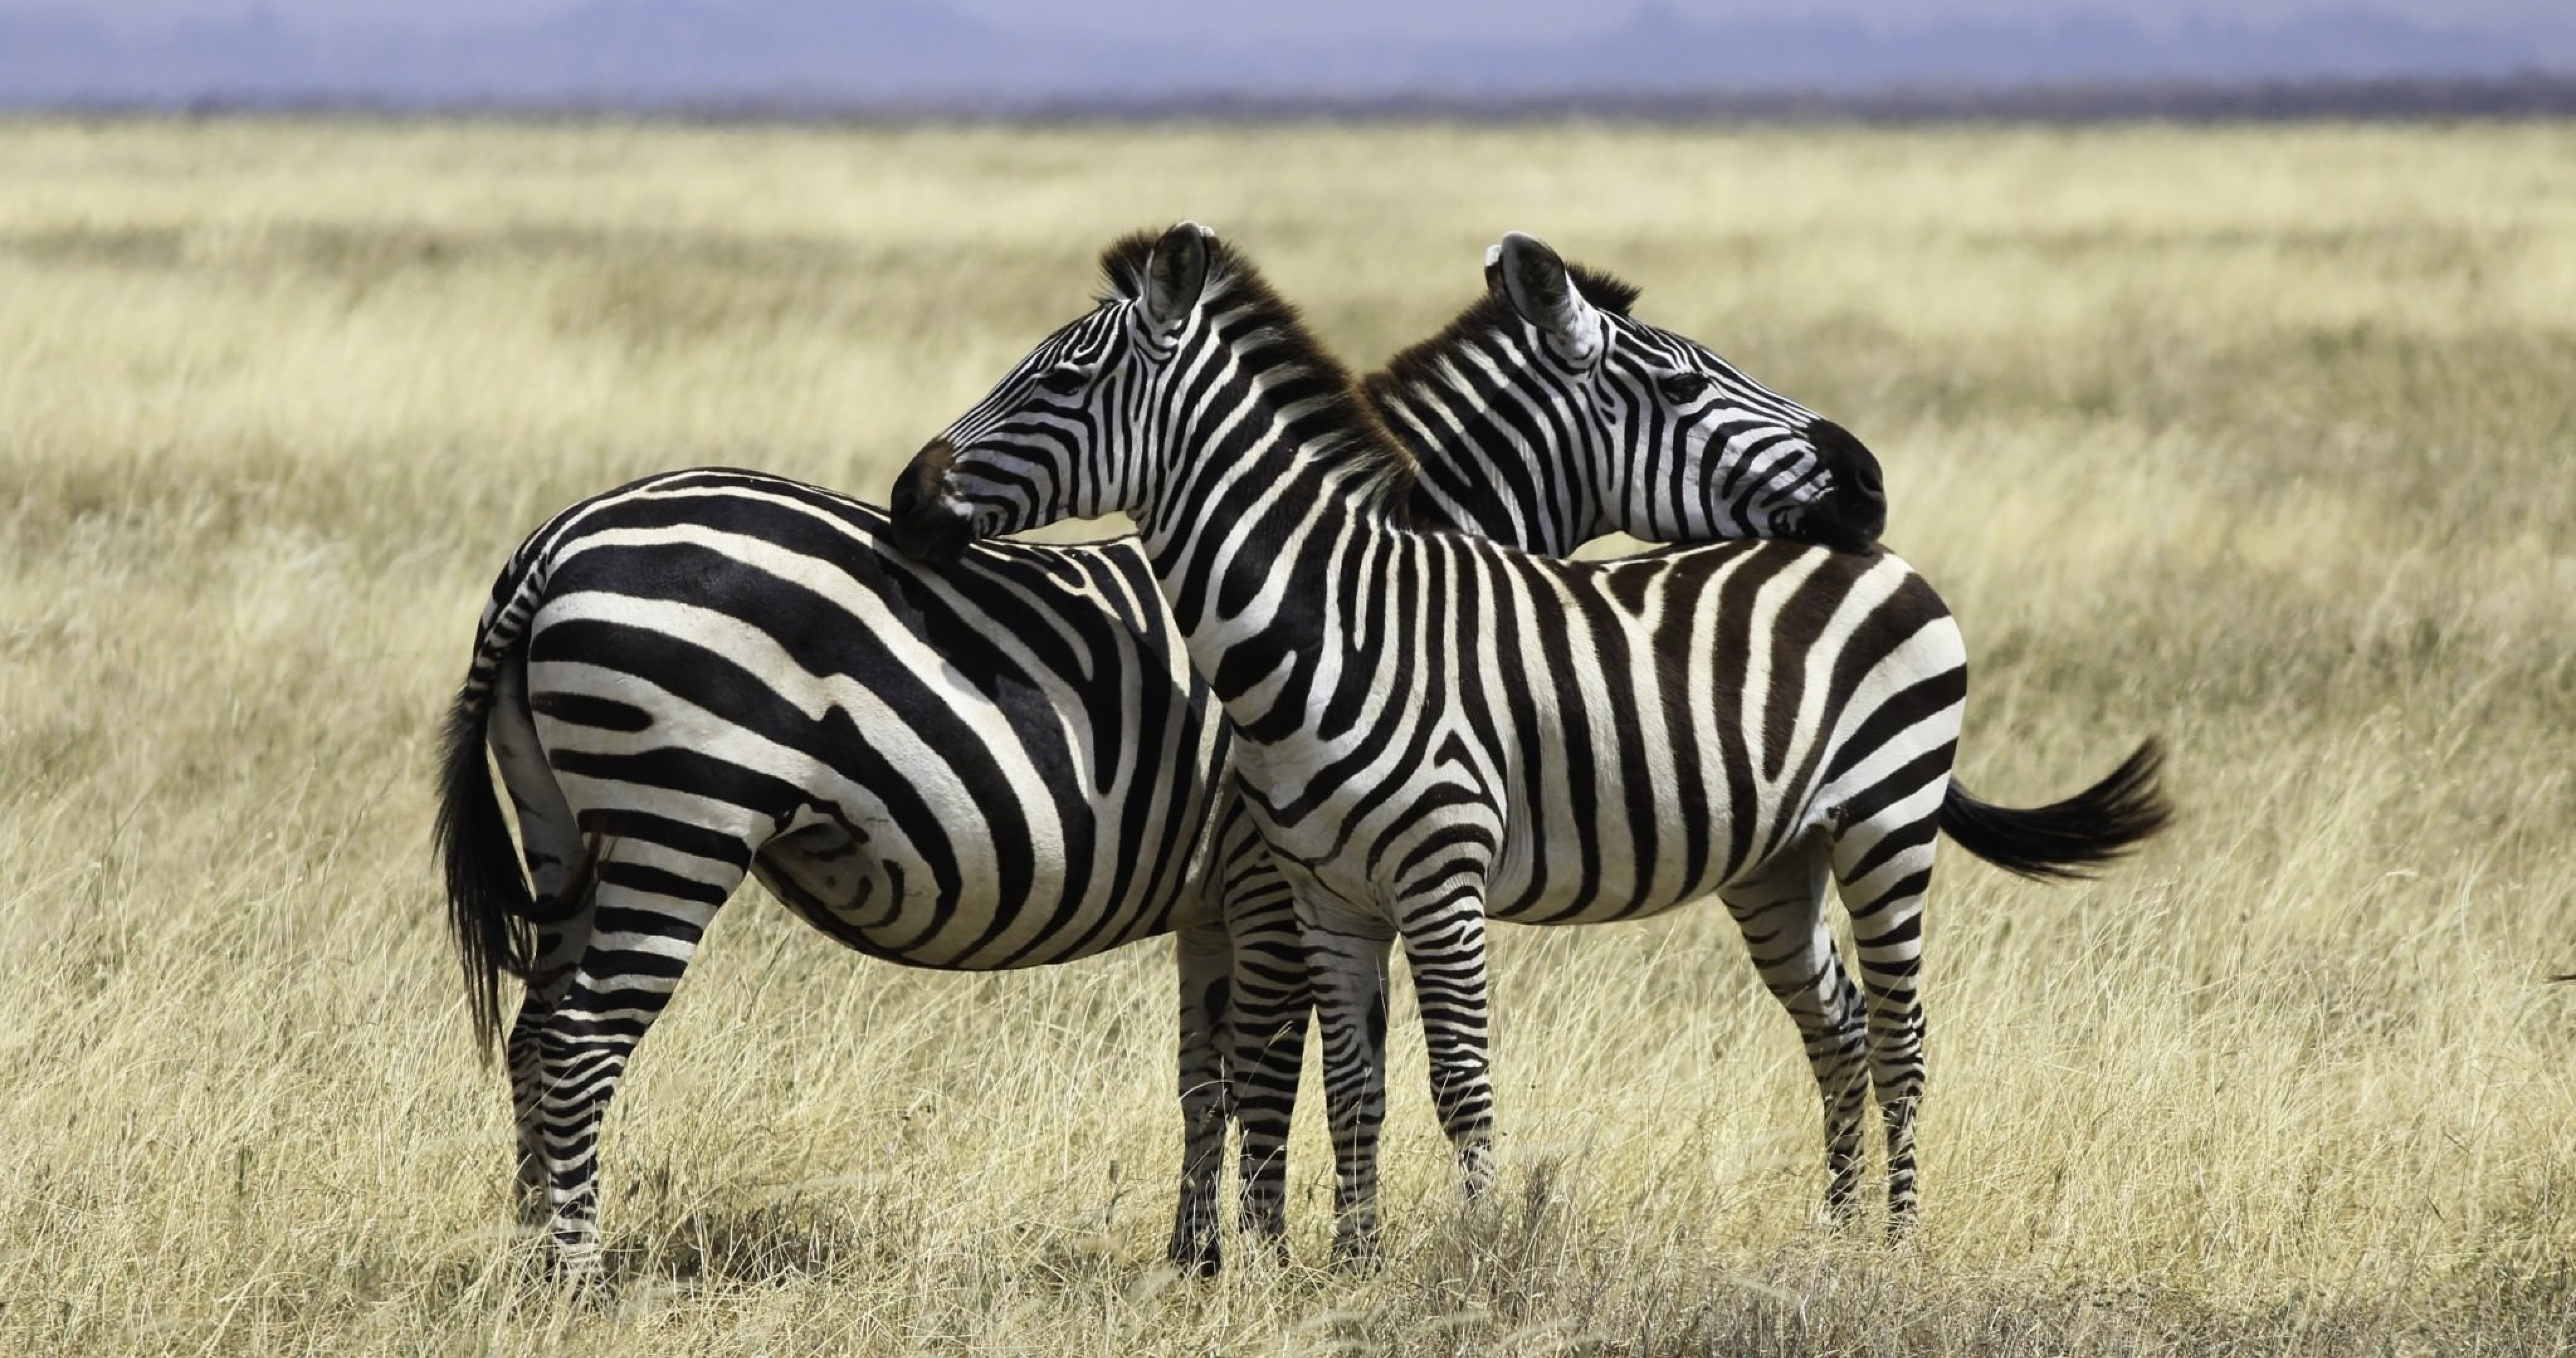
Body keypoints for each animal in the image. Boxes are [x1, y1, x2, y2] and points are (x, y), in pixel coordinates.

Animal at [433, 244, 1878, 1280]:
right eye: (1687, 383)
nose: (1865, 482)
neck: (1357, 589)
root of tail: (556, 542)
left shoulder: (1213, 902)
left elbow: (1203, 1079)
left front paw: (1198, 1260)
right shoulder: (1270, 876)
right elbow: (1275, 1075)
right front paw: (1277, 1259)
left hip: (574, 832)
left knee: (534, 1031)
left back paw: (526, 1257)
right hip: (681, 823)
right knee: (581, 1039)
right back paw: (580, 1279)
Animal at [889, 222, 2169, 1259]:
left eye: (1062, 376)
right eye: (1682, 378)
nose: (907, 497)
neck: (1329, 617)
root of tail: (1889, 562)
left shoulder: (1426, 879)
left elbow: (1437, 1082)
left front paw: (1458, 1256)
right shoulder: (1322, 894)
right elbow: (1346, 1085)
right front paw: (1344, 1267)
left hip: (1888, 822)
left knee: (1902, 1037)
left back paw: (1896, 1246)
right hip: (1777, 860)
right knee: (1840, 1028)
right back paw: (1838, 1235)